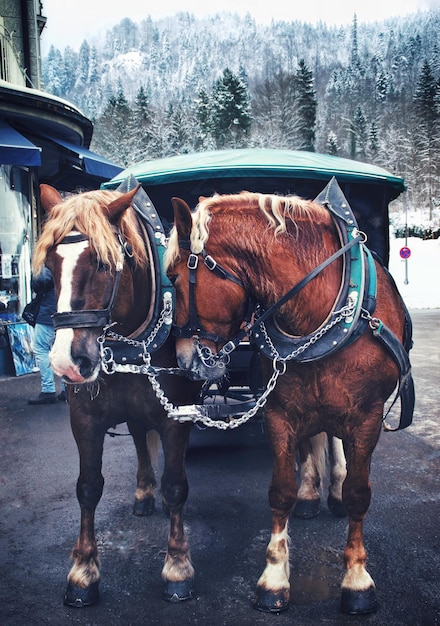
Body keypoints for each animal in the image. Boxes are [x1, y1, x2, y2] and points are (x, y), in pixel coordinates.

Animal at [34, 182, 199, 604]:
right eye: (51, 267)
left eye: (103, 263)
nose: (66, 362)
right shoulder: (84, 419)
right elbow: (88, 487)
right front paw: (82, 571)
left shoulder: (177, 417)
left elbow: (177, 486)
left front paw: (177, 566)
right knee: (139, 435)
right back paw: (143, 493)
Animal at [167, 180, 414, 616]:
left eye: (176, 278)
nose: (182, 360)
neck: (320, 308)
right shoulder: (280, 413)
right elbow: (280, 491)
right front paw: (274, 578)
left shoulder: (366, 417)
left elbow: (359, 494)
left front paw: (357, 580)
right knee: (313, 440)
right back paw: (311, 492)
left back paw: (333, 488)